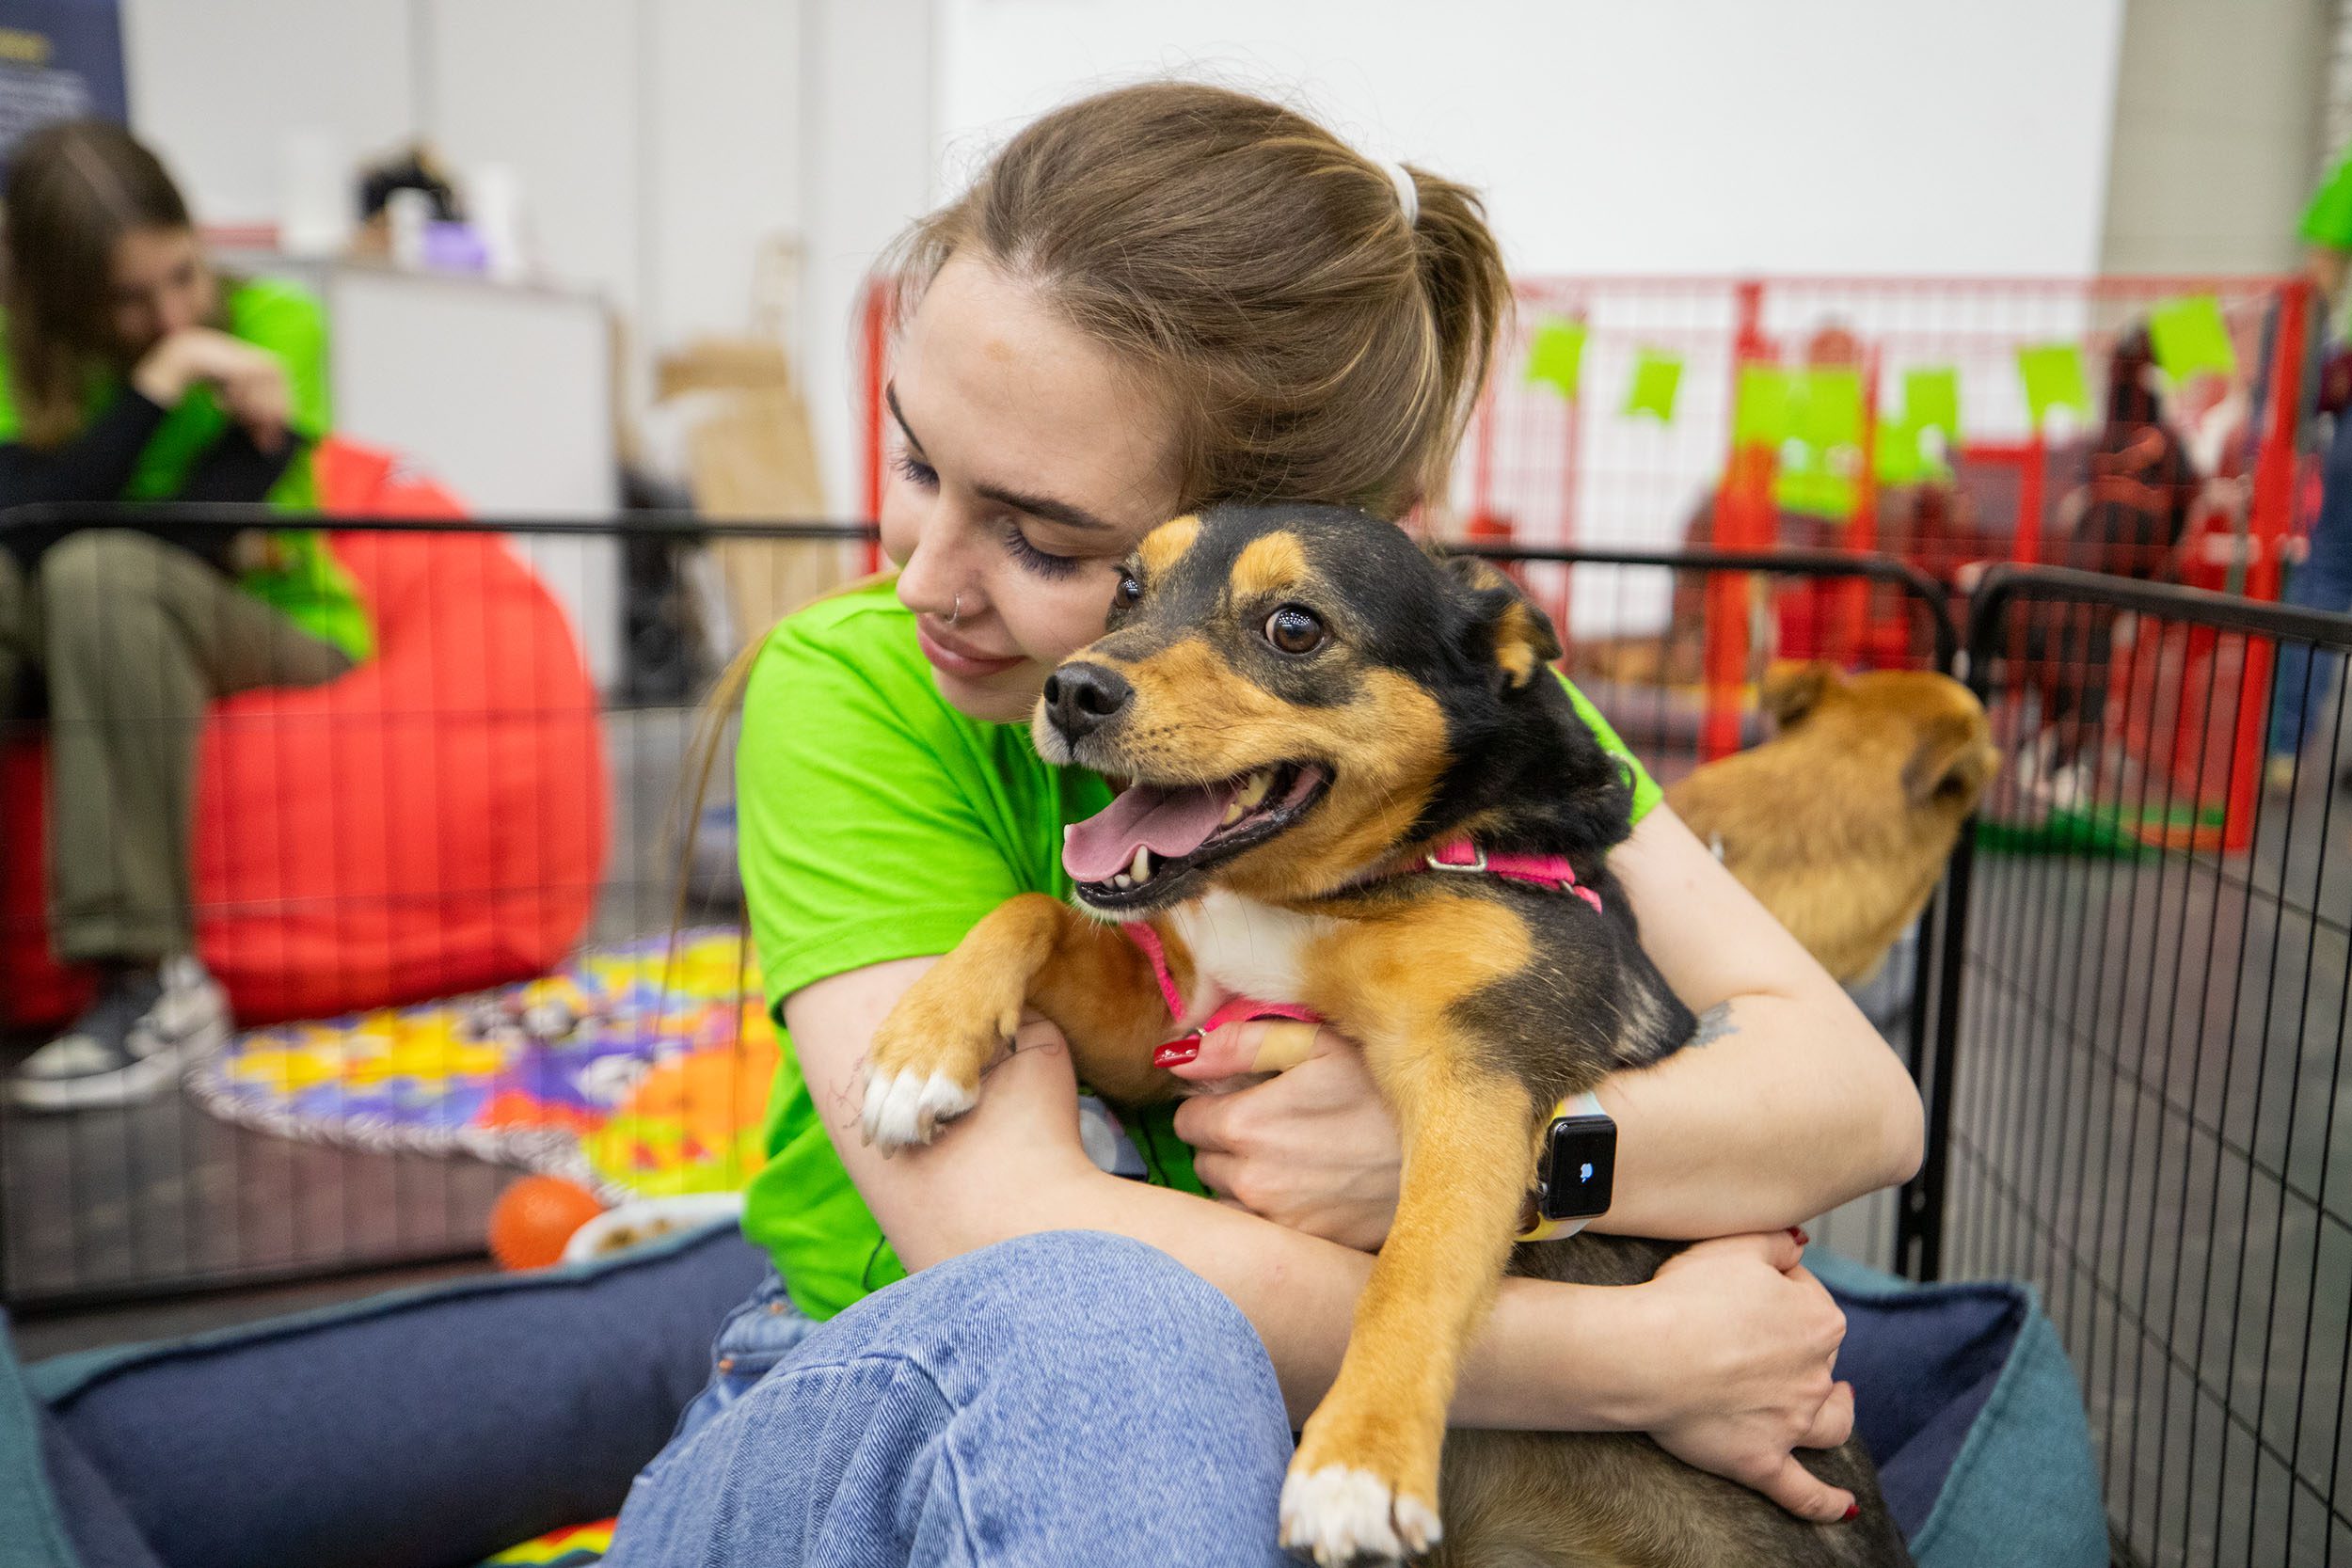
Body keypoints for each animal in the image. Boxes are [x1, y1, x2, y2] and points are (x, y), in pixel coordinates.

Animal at [866, 505, 1910, 1568]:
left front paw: (1358, 1464)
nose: (1073, 689)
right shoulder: (1168, 1027)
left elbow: (1414, 1269)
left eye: (1294, 627)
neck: (1338, 891)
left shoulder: (1475, 1078)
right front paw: (921, 1048)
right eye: (1124, 589)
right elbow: (1031, 909)